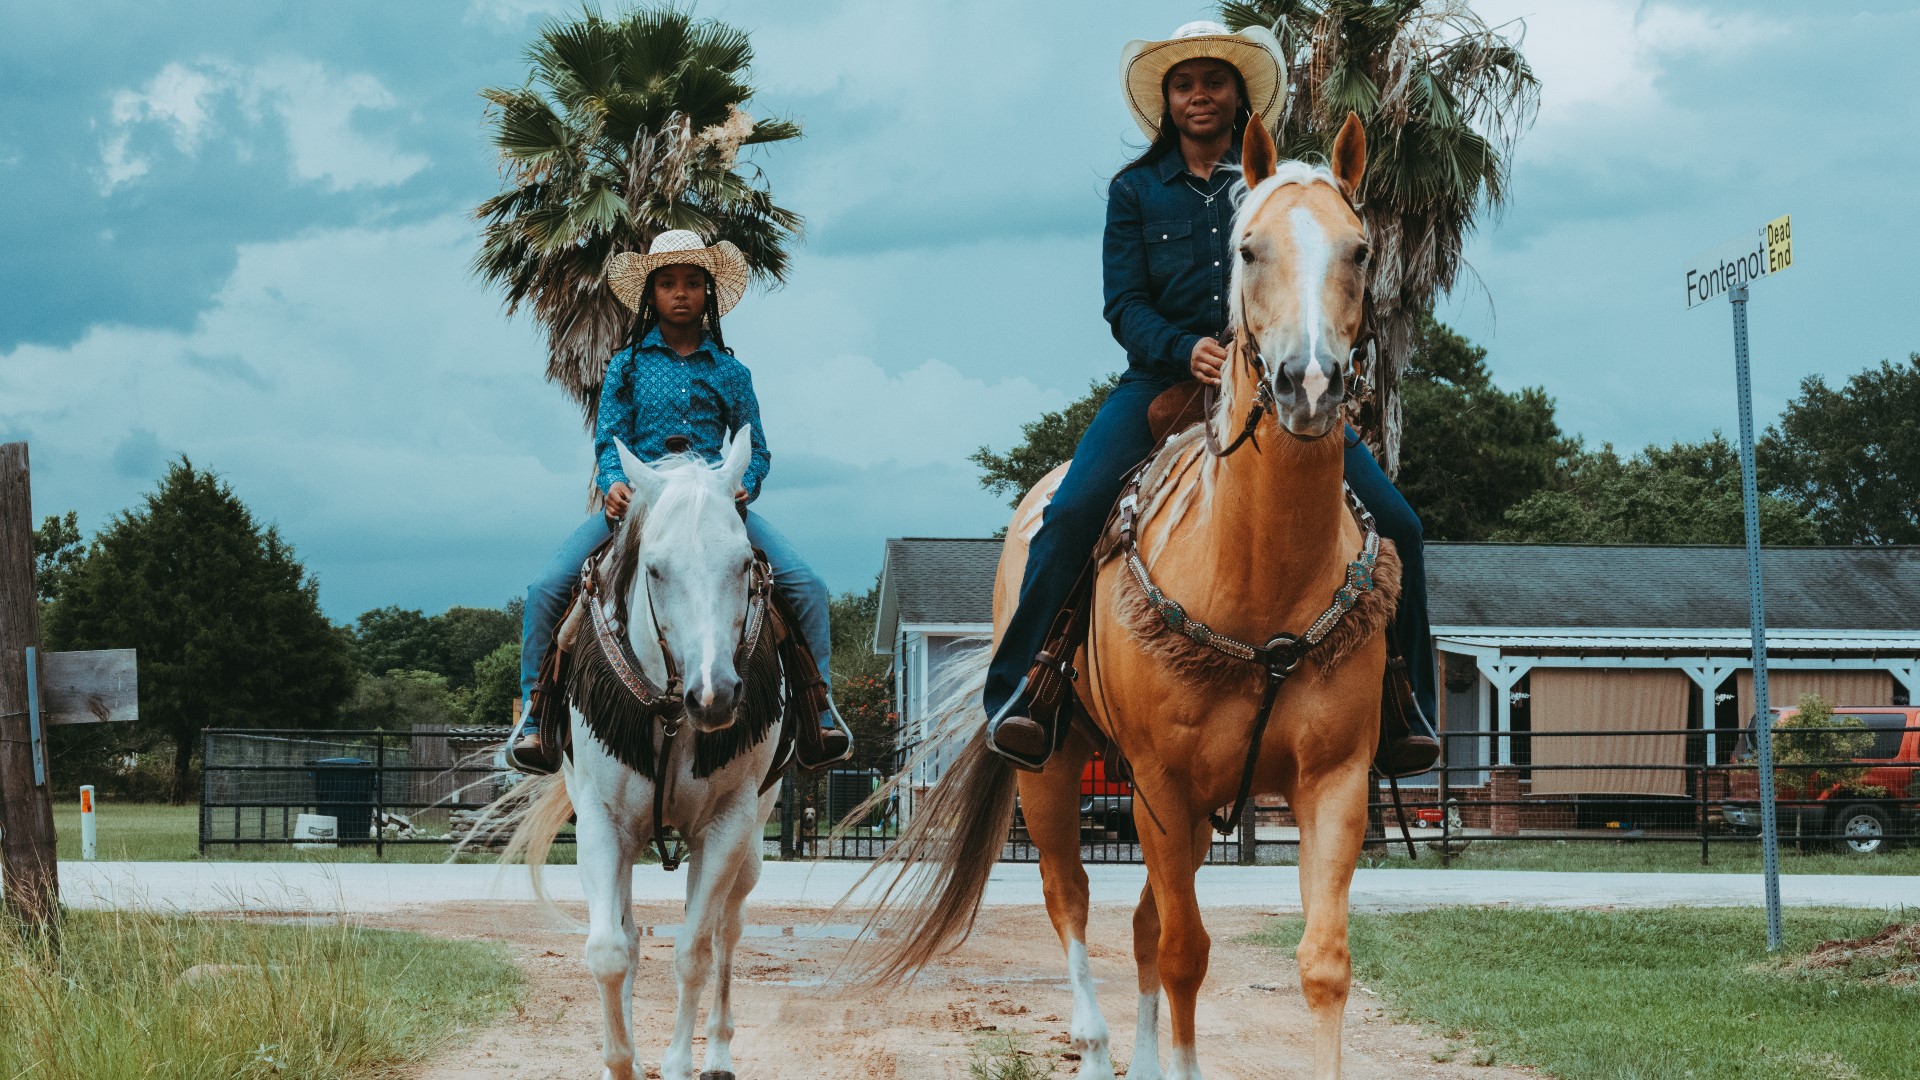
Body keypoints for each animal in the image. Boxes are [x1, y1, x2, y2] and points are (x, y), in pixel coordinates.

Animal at [495, 432, 794, 1076]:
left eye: (744, 563)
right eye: (655, 568)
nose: (715, 694)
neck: (672, 705)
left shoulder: (727, 826)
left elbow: (694, 952)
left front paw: (678, 1063)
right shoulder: (603, 824)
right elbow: (611, 950)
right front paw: (621, 1060)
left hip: (751, 839)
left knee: (726, 931)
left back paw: (719, 1052)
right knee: (635, 937)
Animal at [840, 111, 1397, 1076]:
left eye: (1358, 249)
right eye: (1249, 249)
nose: (1311, 384)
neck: (1260, 583)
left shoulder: (1333, 781)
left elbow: (1319, 963)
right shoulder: (1163, 786)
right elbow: (1183, 952)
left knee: (1137, 922)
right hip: (1058, 771)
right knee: (1072, 899)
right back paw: (1099, 1047)